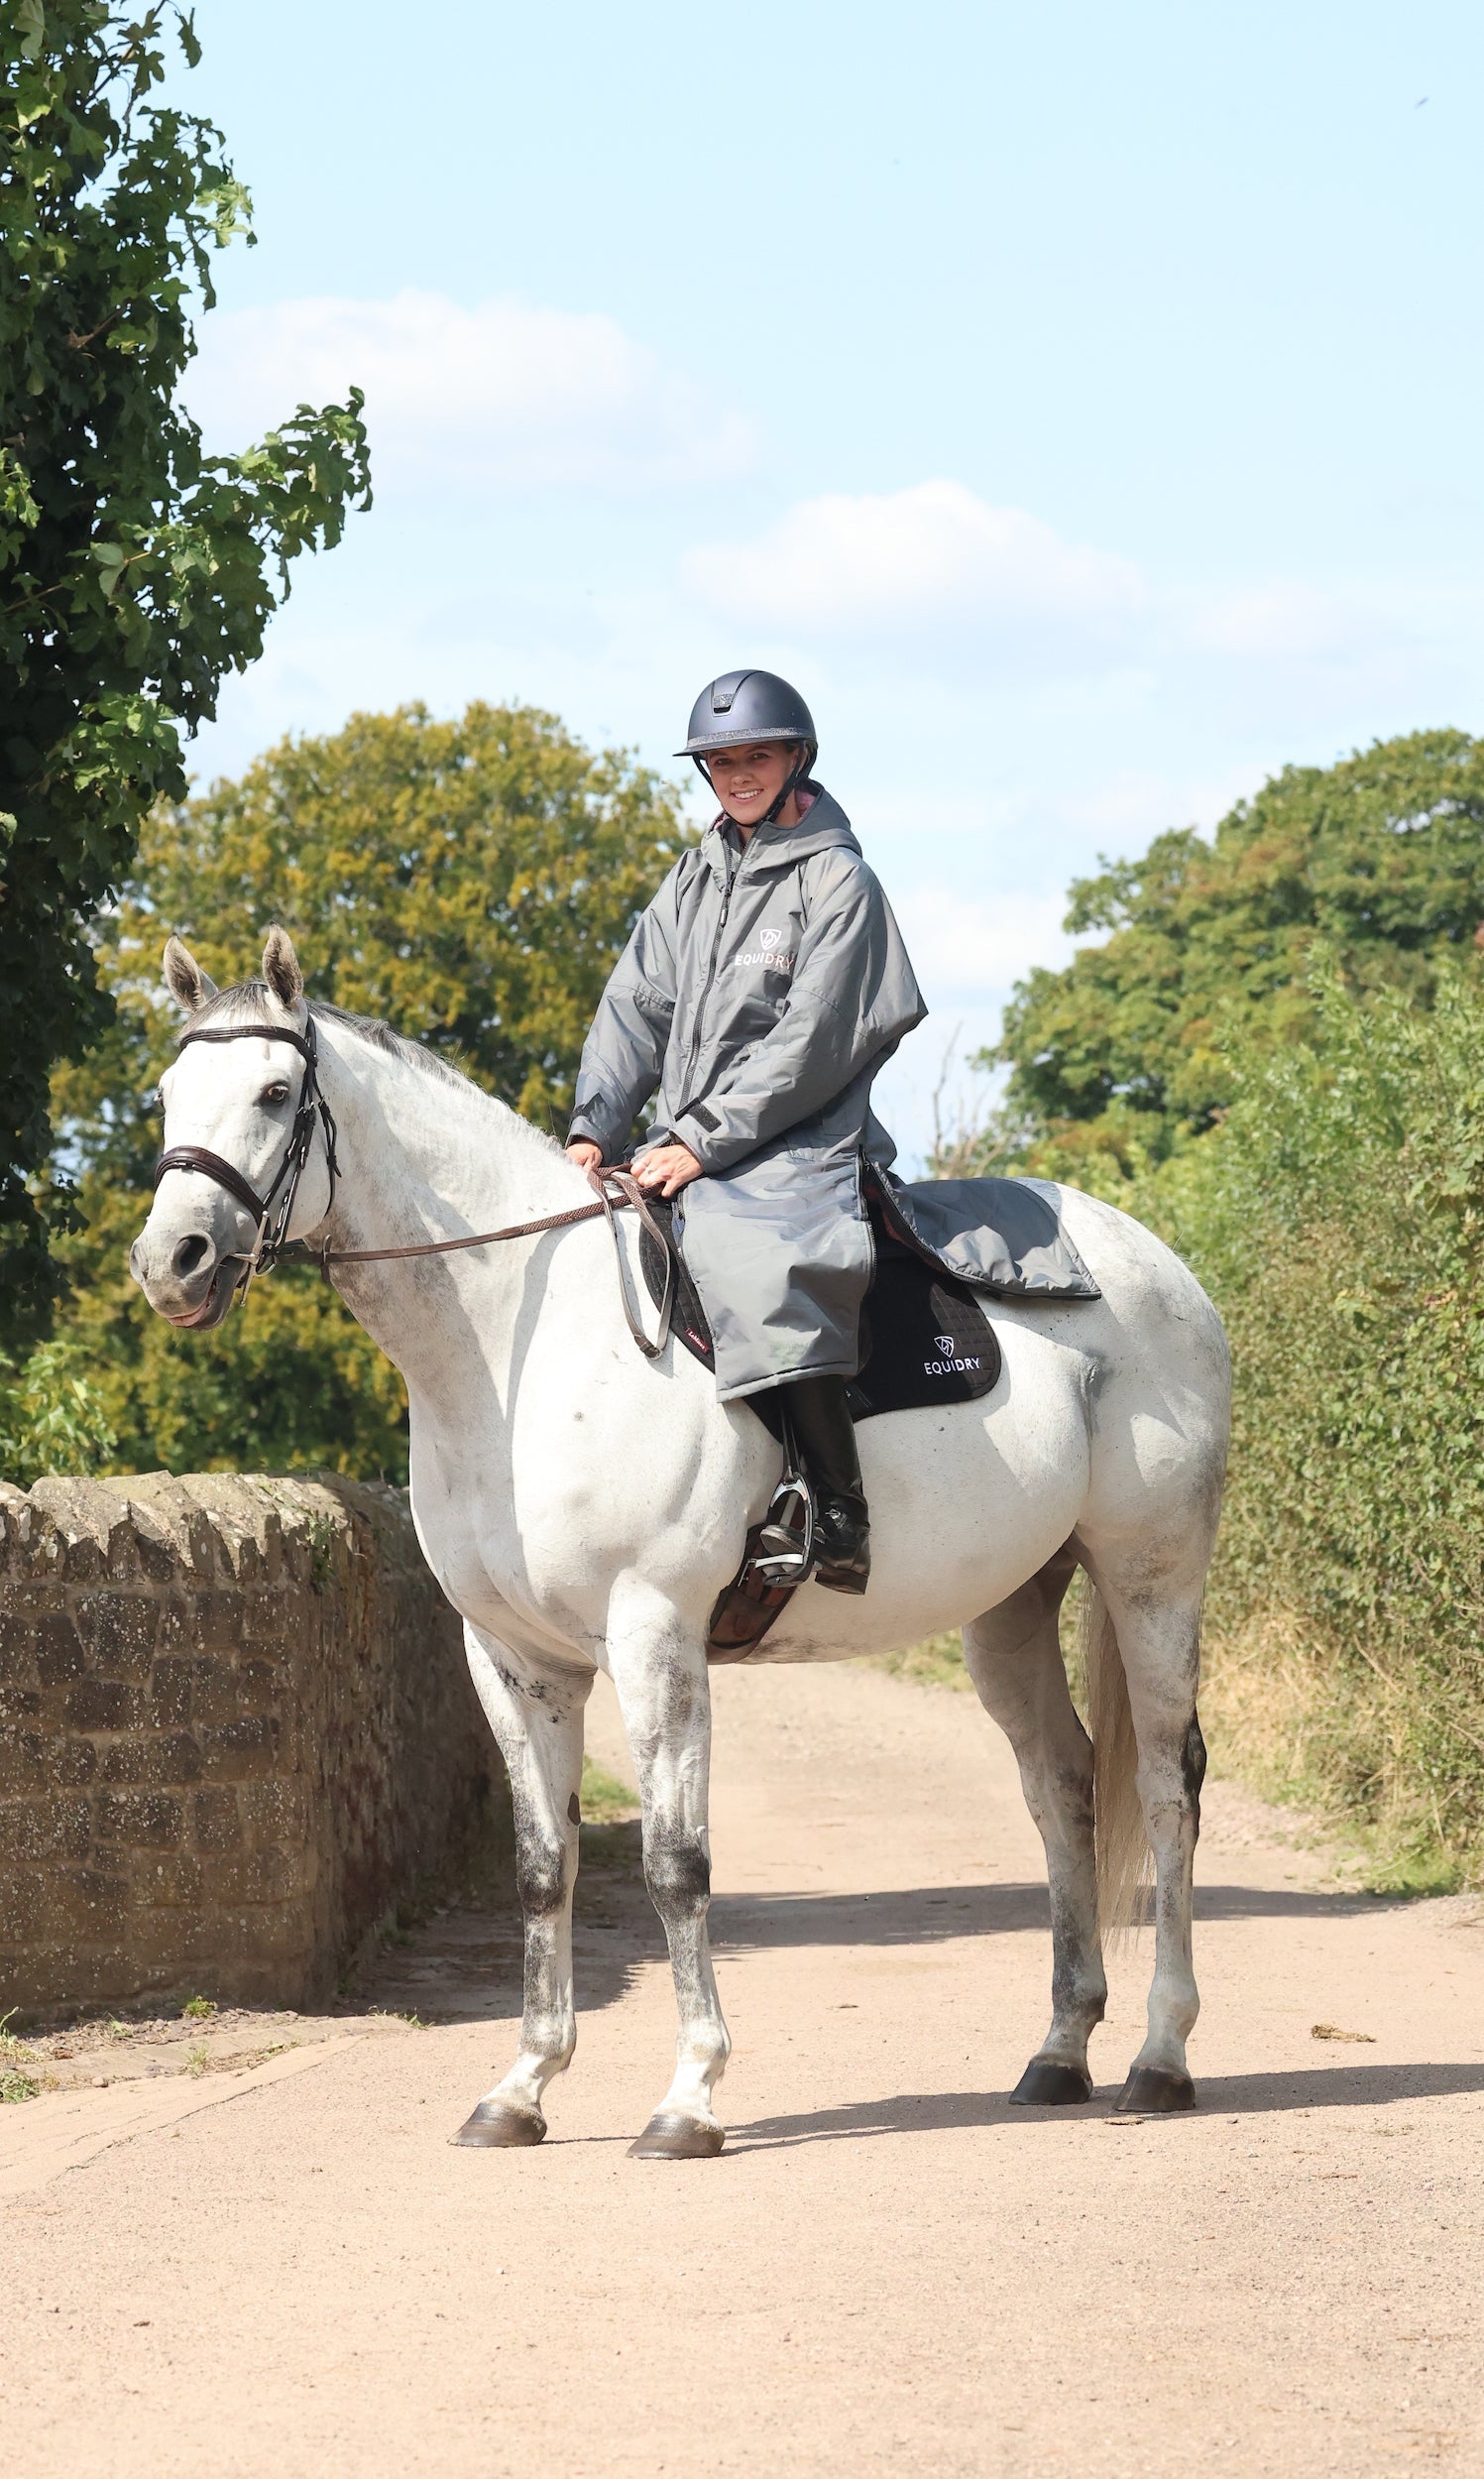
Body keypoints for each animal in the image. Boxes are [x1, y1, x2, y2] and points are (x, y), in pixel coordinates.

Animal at [129, 928, 1230, 2158]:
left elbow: (676, 1863)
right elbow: (542, 1867)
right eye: (168, 1092)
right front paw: (522, 2086)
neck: (522, 1349)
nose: (172, 1261)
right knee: (1063, 1785)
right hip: (1011, 1609)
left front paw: (690, 2095)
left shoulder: (654, 1635)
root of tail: (1158, 1265)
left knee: (1170, 1787)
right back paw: (1059, 2051)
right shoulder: (513, 1661)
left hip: (1151, 1577)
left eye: (277, 1092)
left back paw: (1161, 2056)